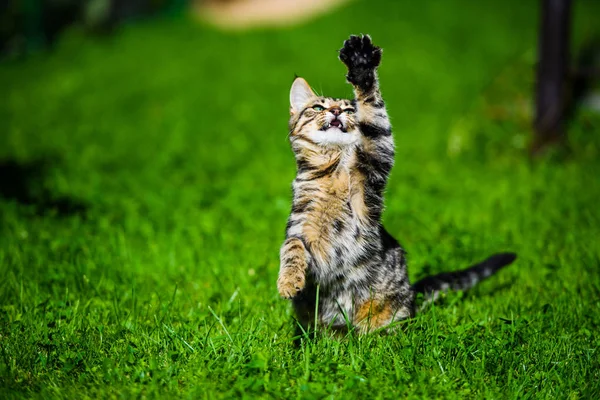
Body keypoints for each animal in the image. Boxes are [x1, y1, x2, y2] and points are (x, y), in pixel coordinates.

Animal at [276, 34, 516, 334]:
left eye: (349, 109)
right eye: (318, 107)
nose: (335, 111)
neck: (333, 170)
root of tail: (412, 294)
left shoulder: (372, 173)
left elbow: (375, 119)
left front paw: (362, 70)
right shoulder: (299, 225)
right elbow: (291, 248)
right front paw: (288, 281)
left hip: (390, 313)